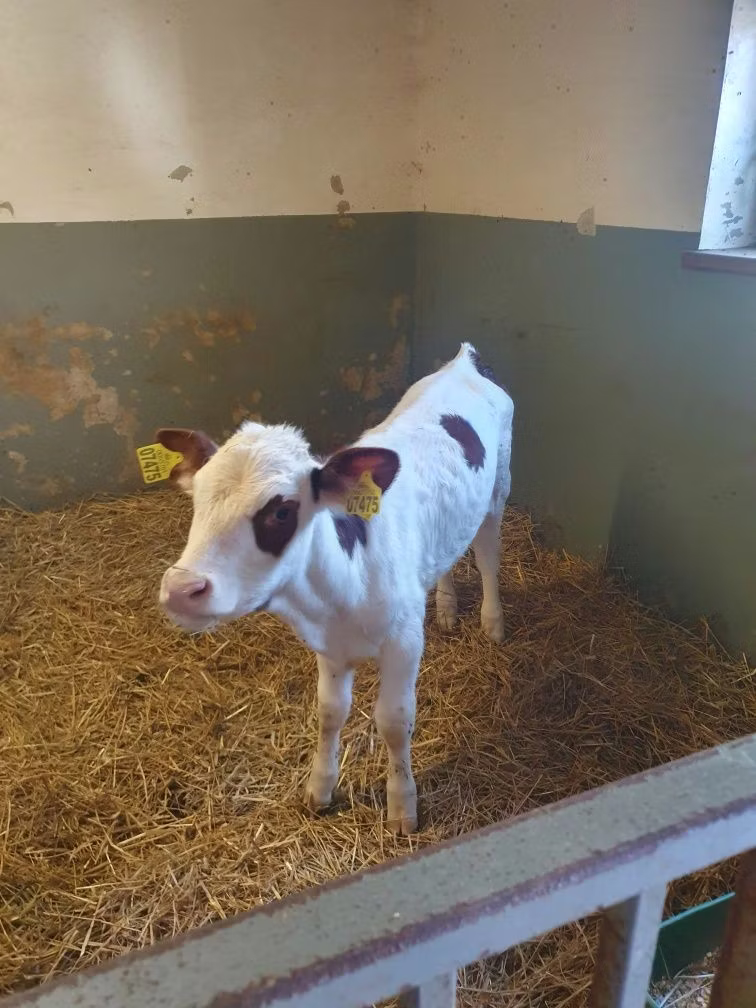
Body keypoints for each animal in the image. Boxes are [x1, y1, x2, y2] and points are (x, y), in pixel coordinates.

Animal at [157, 343, 513, 834]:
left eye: (281, 511)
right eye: (196, 499)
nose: (180, 588)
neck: (338, 591)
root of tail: (465, 360)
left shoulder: (404, 641)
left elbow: (394, 720)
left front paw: (402, 805)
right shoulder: (328, 646)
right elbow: (329, 712)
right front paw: (320, 788)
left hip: (499, 488)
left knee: (488, 553)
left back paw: (492, 621)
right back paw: (445, 607)